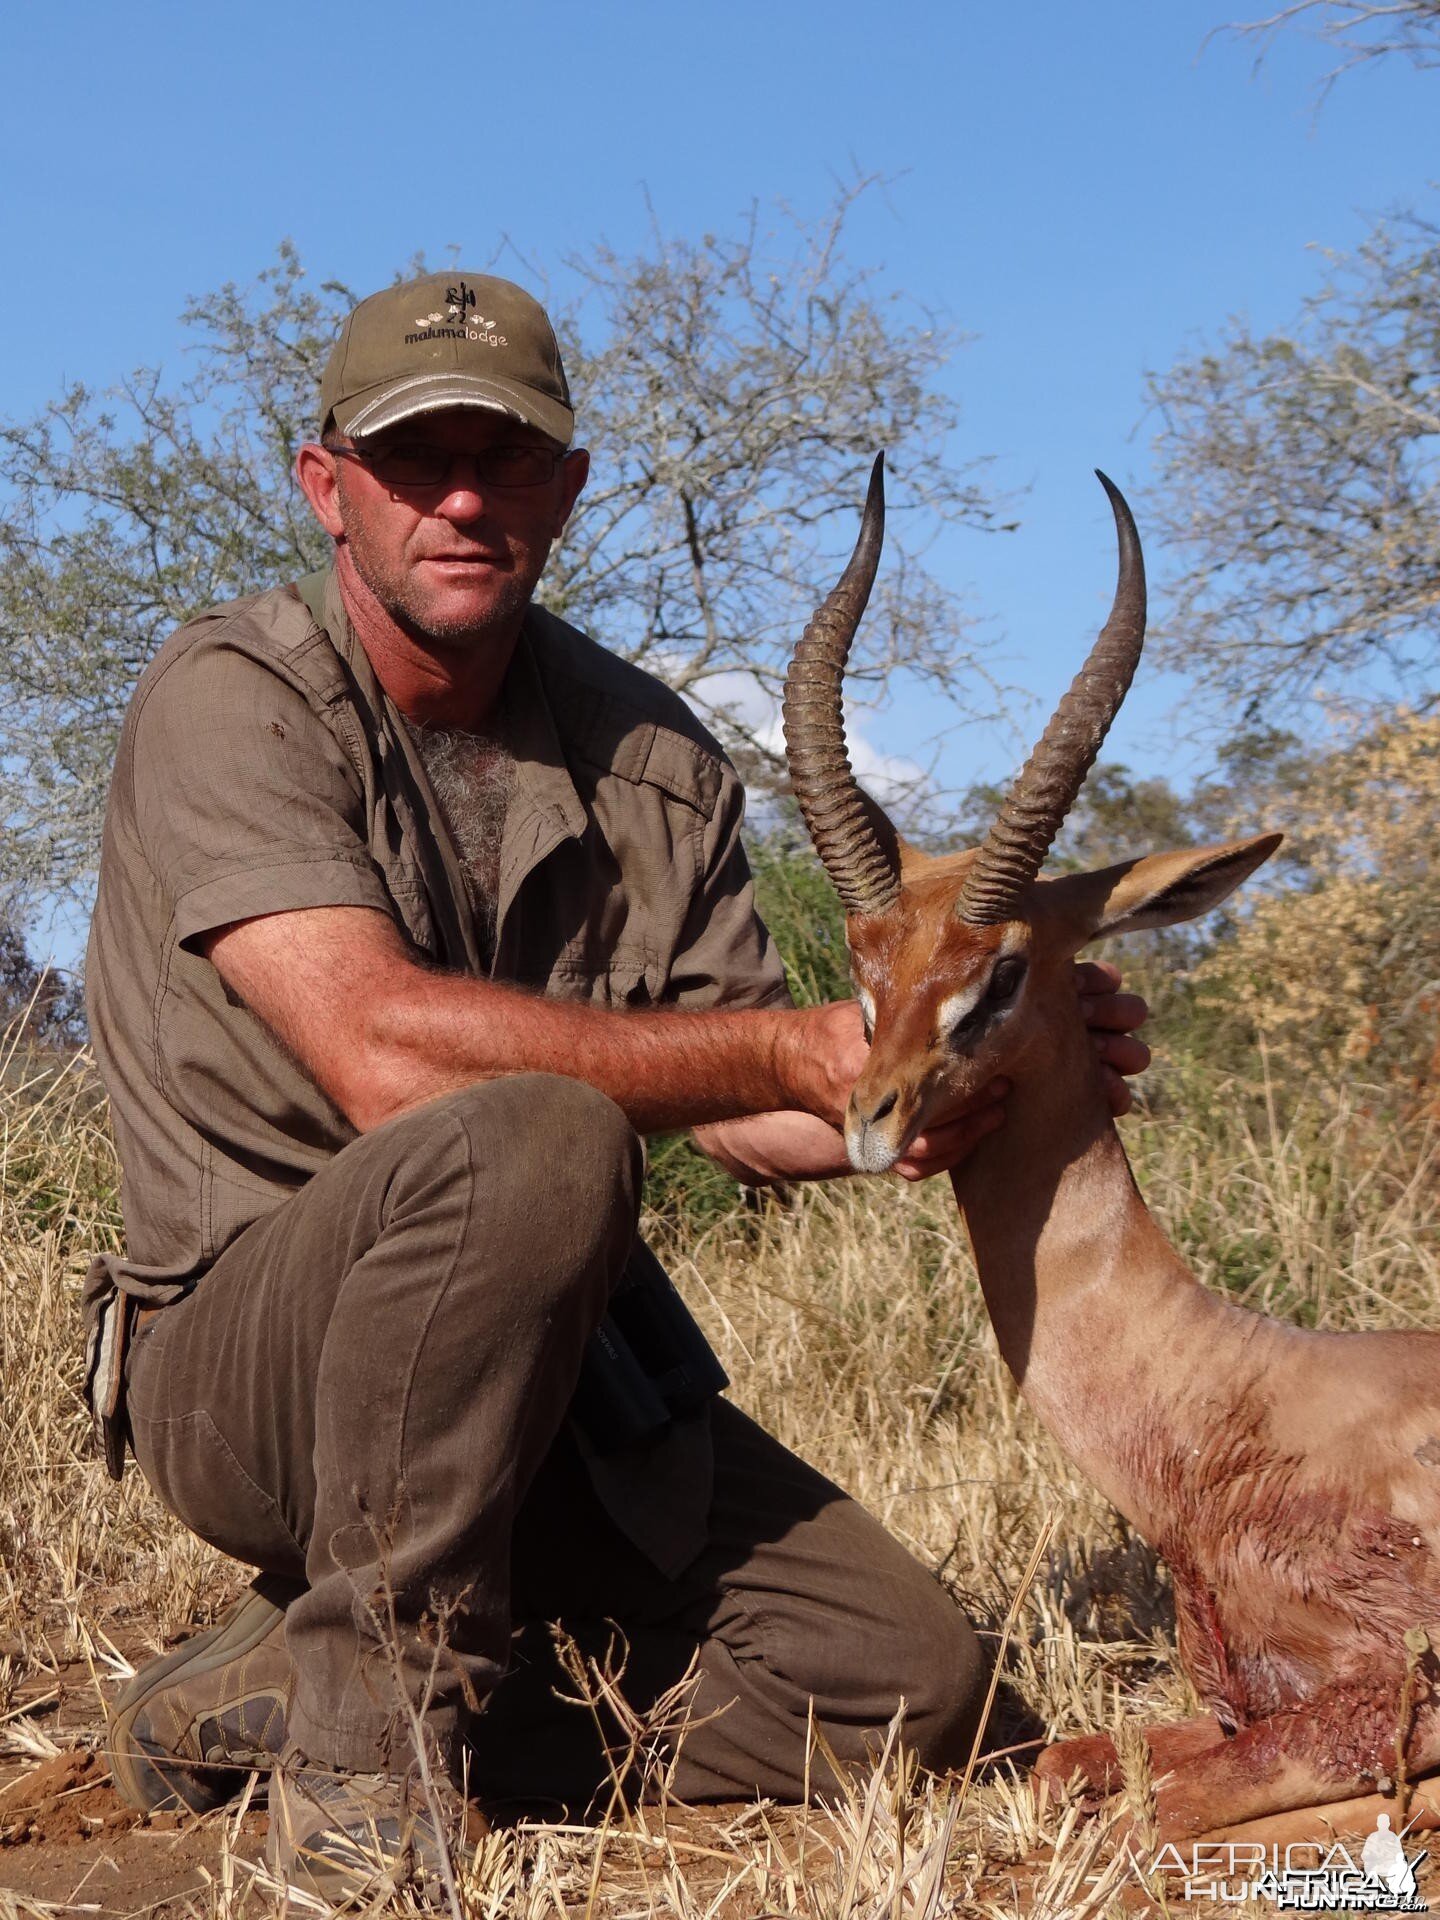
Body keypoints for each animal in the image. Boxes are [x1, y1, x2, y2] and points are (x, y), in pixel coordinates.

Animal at [783, 453, 1440, 1843]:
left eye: (1002, 971)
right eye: (866, 974)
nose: (871, 1118)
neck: (1230, 1404)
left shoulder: (1381, 1686)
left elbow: (1182, 1796)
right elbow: (1082, 1765)